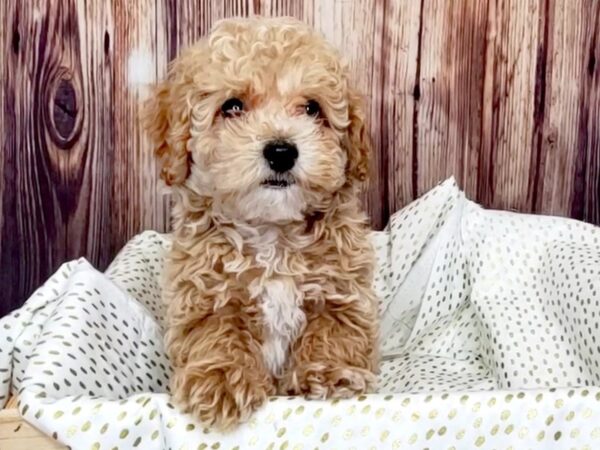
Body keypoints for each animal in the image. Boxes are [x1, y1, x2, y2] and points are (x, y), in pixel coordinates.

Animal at [144, 16, 380, 428]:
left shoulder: (342, 291)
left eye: (312, 108)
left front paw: (329, 372)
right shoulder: (206, 294)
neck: (274, 234)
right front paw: (221, 382)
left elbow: (334, 329)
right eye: (232, 106)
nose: (282, 151)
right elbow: (217, 333)